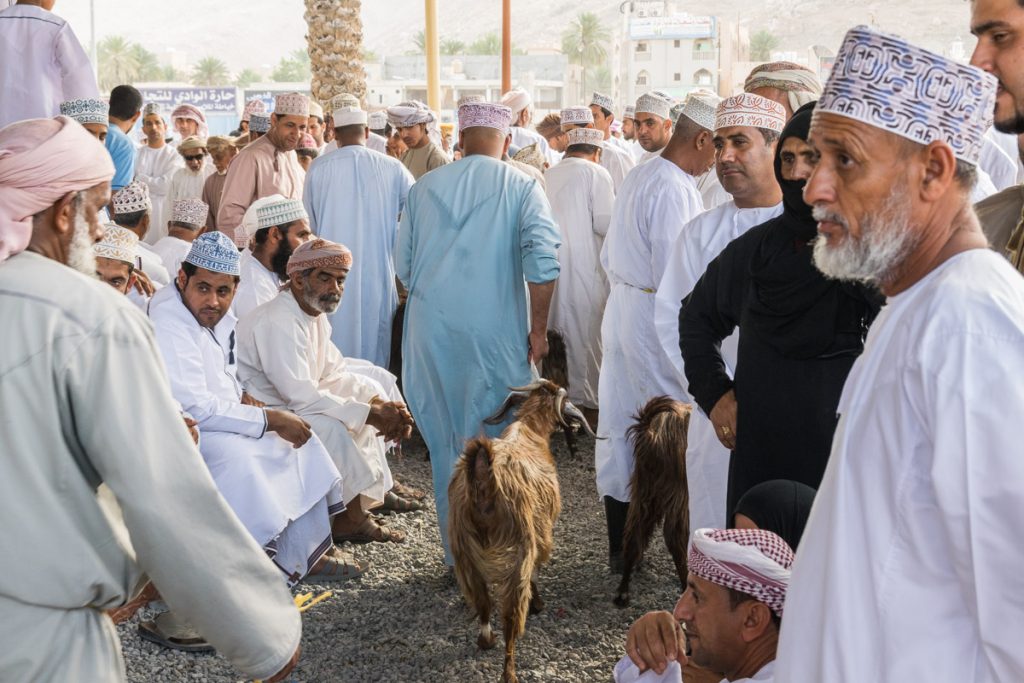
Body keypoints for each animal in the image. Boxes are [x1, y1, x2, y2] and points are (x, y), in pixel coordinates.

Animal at [448, 378, 593, 683]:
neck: (529, 431)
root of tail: (483, 480)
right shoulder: (541, 532)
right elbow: (537, 569)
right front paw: (539, 604)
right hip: (517, 546)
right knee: (511, 616)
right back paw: (510, 672)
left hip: (463, 549)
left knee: (482, 602)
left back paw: (486, 640)